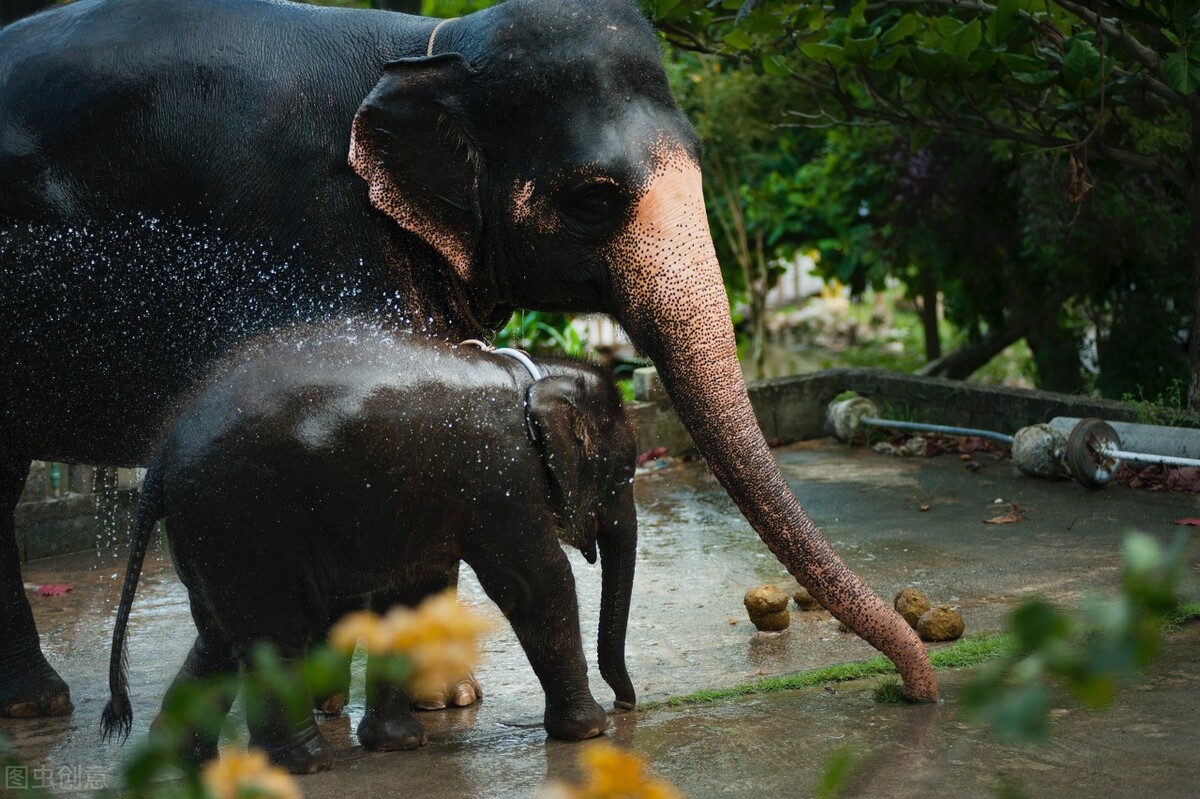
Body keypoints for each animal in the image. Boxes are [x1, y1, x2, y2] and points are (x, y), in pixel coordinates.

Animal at [0, 0, 935, 722]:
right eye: (592, 200)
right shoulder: (314, 232)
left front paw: (442, 702)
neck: (425, 47)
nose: (915, 689)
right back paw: (43, 703)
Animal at [100, 319, 639, 773]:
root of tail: (160, 460)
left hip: (213, 534)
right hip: (243, 521)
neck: (531, 376)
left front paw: (398, 744)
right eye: (624, 473)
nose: (627, 703)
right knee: (276, 631)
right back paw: (308, 764)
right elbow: (535, 583)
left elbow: (411, 596)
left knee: (219, 636)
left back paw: (185, 759)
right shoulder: (503, 479)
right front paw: (590, 732)